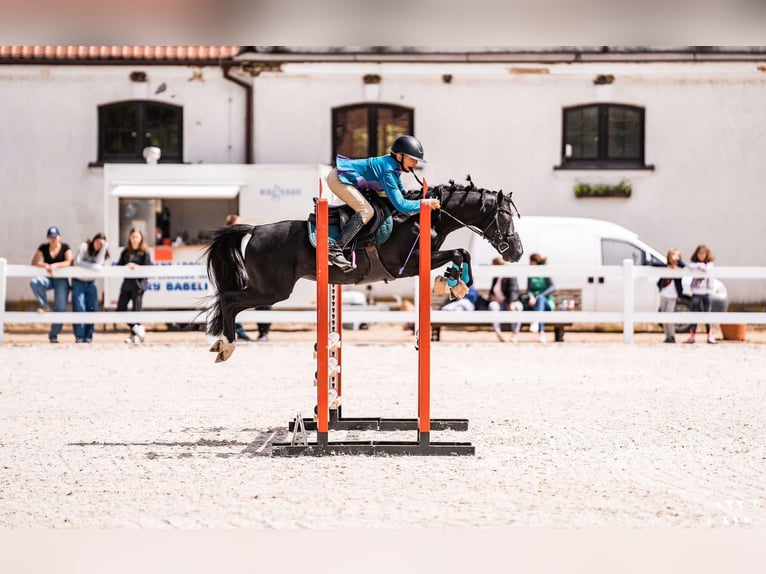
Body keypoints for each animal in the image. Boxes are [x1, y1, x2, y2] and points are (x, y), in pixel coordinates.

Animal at [207, 178, 524, 362]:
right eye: (505, 217)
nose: (517, 252)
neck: (424, 217)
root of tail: (256, 229)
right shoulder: (406, 266)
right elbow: (459, 252)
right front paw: (453, 283)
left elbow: (462, 253)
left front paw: (455, 282)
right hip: (273, 290)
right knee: (229, 299)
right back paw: (225, 345)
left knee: (228, 299)